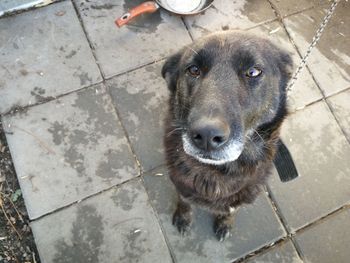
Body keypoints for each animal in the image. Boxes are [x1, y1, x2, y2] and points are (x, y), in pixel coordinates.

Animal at [161, 30, 292, 241]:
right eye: (194, 70)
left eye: (253, 72)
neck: (216, 172)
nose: (206, 134)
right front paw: (183, 217)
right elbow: (184, 201)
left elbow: (230, 208)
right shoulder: (181, 185)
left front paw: (225, 222)